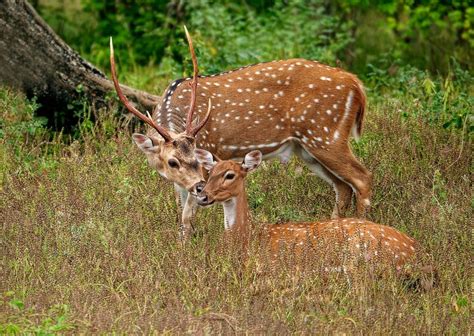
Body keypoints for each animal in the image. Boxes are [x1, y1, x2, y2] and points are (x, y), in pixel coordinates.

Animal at [110, 27, 370, 238]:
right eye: (172, 162)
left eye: (198, 157)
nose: (200, 186)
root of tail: (357, 85)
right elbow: (182, 216)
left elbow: (186, 216)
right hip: (306, 147)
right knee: (343, 187)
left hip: (325, 133)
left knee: (362, 177)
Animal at [194, 150, 436, 288]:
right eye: (210, 171)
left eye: (230, 175)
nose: (202, 194)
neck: (246, 236)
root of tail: (421, 256)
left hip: (362, 253)